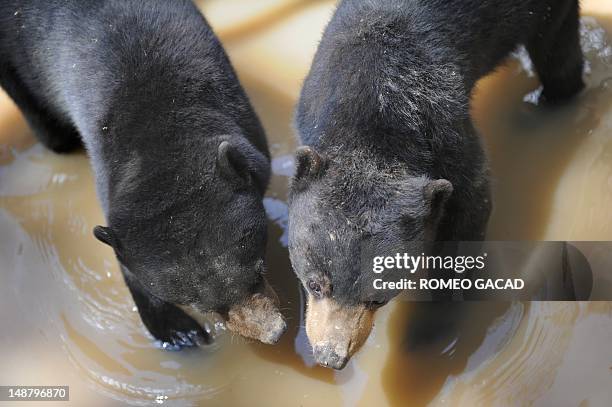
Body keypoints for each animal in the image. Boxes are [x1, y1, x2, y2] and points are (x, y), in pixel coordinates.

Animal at [286, 0, 584, 370]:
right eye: (315, 284)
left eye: (378, 298)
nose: (331, 357)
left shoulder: (449, 137)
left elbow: (469, 214)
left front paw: (428, 335)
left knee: (558, 56)